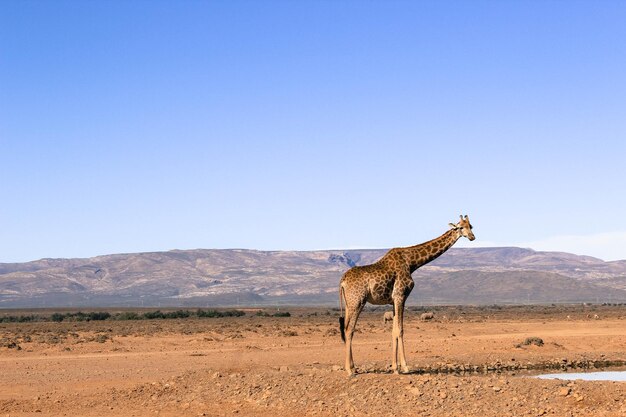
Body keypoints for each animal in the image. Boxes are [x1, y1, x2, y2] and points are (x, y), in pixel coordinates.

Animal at [336, 214, 472, 374]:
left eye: (471, 226)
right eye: (461, 227)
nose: (472, 237)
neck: (412, 262)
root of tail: (342, 281)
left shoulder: (394, 300)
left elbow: (394, 330)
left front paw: (395, 367)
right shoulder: (401, 296)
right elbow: (400, 330)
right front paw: (405, 367)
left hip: (348, 303)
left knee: (346, 328)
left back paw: (353, 367)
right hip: (357, 302)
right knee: (349, 329)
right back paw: (349, 370)